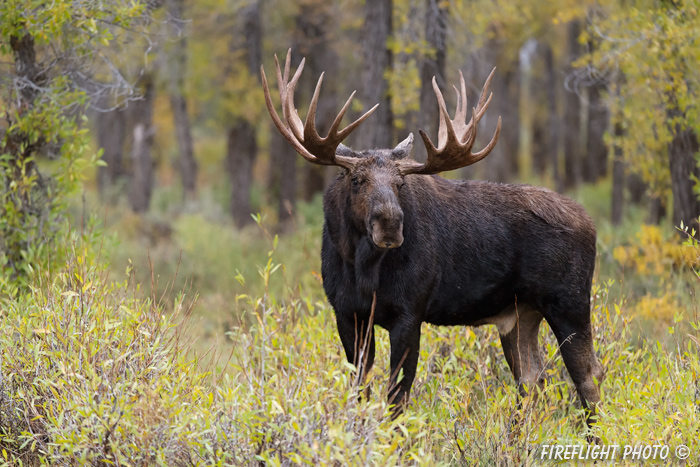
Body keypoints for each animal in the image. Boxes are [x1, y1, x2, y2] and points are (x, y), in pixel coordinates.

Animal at [260, 50, 604, 424]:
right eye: (356, 180)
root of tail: (592, 225)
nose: (390, 224)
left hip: (569, 303)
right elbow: (360, 388)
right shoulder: (347, 313)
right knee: (533, 378)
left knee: (588, 375)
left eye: (400, 183)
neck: (363, 269)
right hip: (520, 314)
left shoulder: (410, 312)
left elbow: (398, 394)